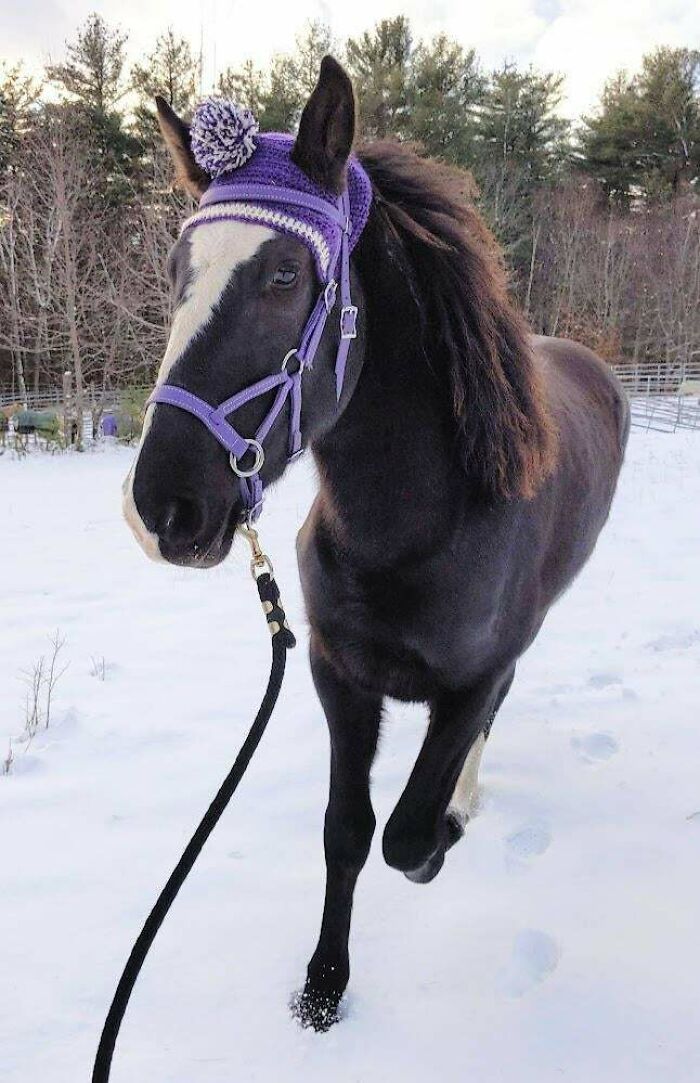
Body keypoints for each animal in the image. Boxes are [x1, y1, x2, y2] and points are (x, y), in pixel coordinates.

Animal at [122, 56, 630, 1031]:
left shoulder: (470, 680)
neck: (411, 527)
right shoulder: (337, 675)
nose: (162, 507)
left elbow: (406, 835)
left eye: (286, 273)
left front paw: (442, 837)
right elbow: (349, 833)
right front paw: (324, 987)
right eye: (174, 270)